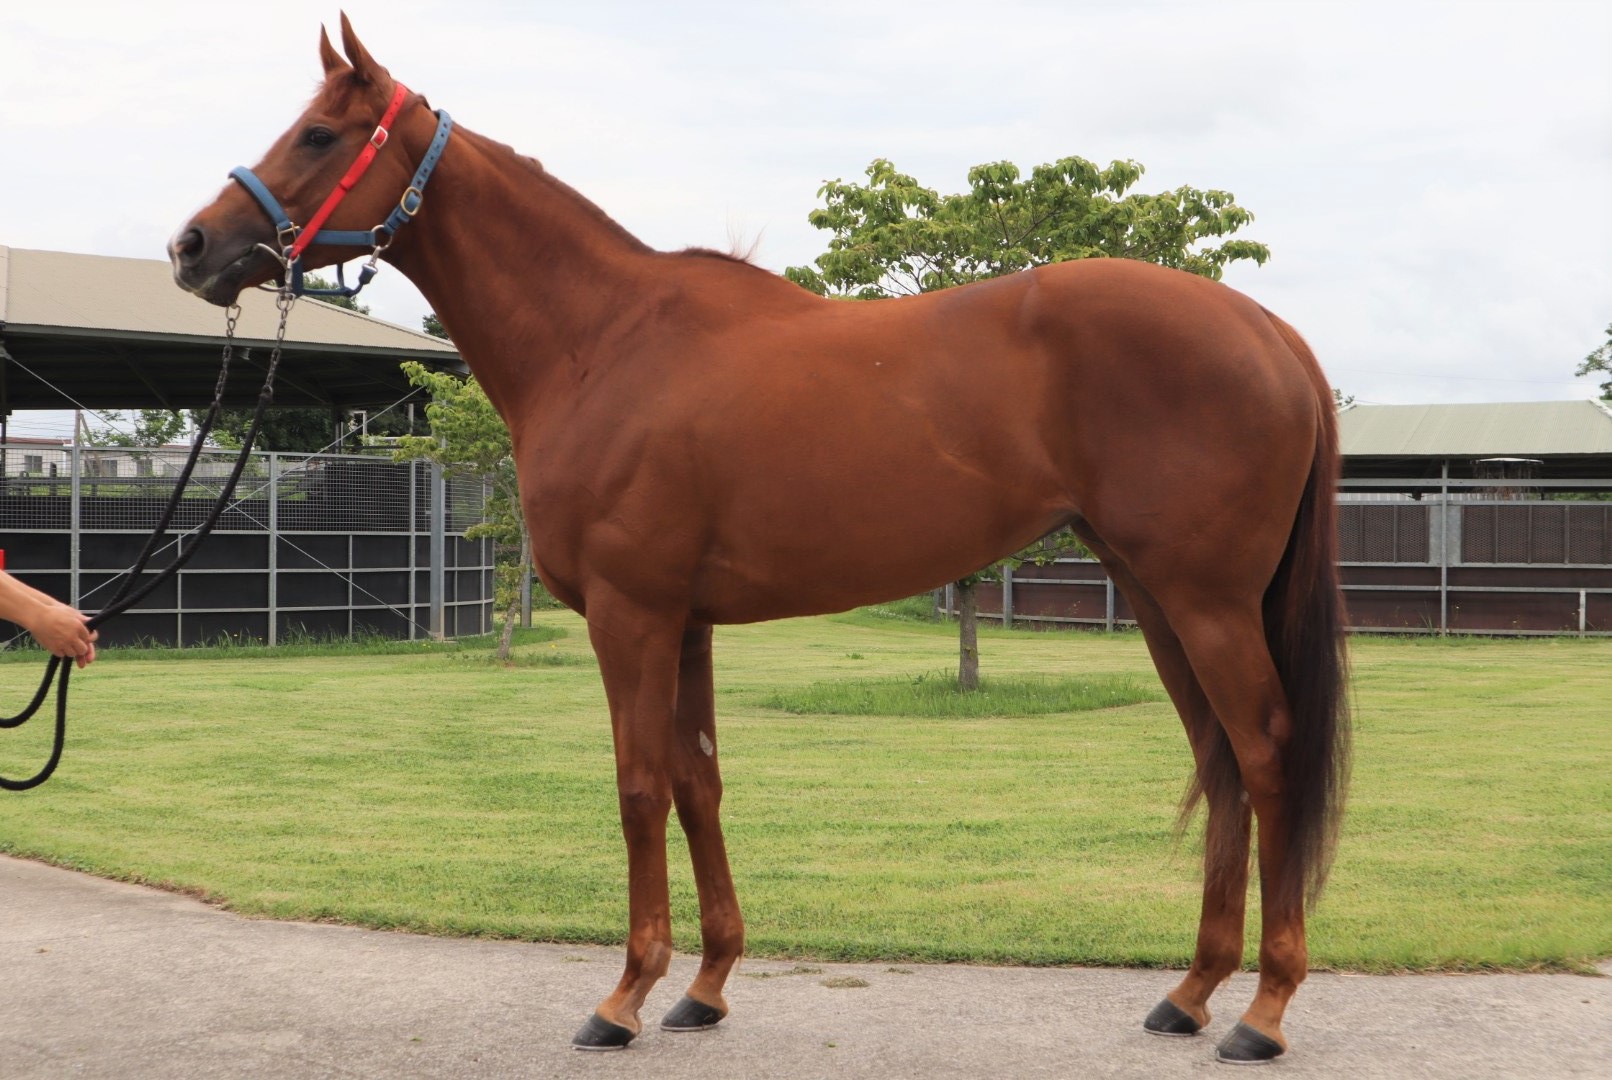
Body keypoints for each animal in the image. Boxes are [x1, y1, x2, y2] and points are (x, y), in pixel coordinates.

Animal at [169, 17, 1348, 1065]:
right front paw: (705, 986)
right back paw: (1190, 993)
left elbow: (639, 787)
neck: (604, 342)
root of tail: (1272, 333)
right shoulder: (685, 621)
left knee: (1264, 754)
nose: (193, 246)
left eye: (319, 134)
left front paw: (623, 997)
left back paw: (1263, 1011)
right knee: (1218, 760)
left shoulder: (630, 615)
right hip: (1155, 596)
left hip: (1203, 600)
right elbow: (699, 783)